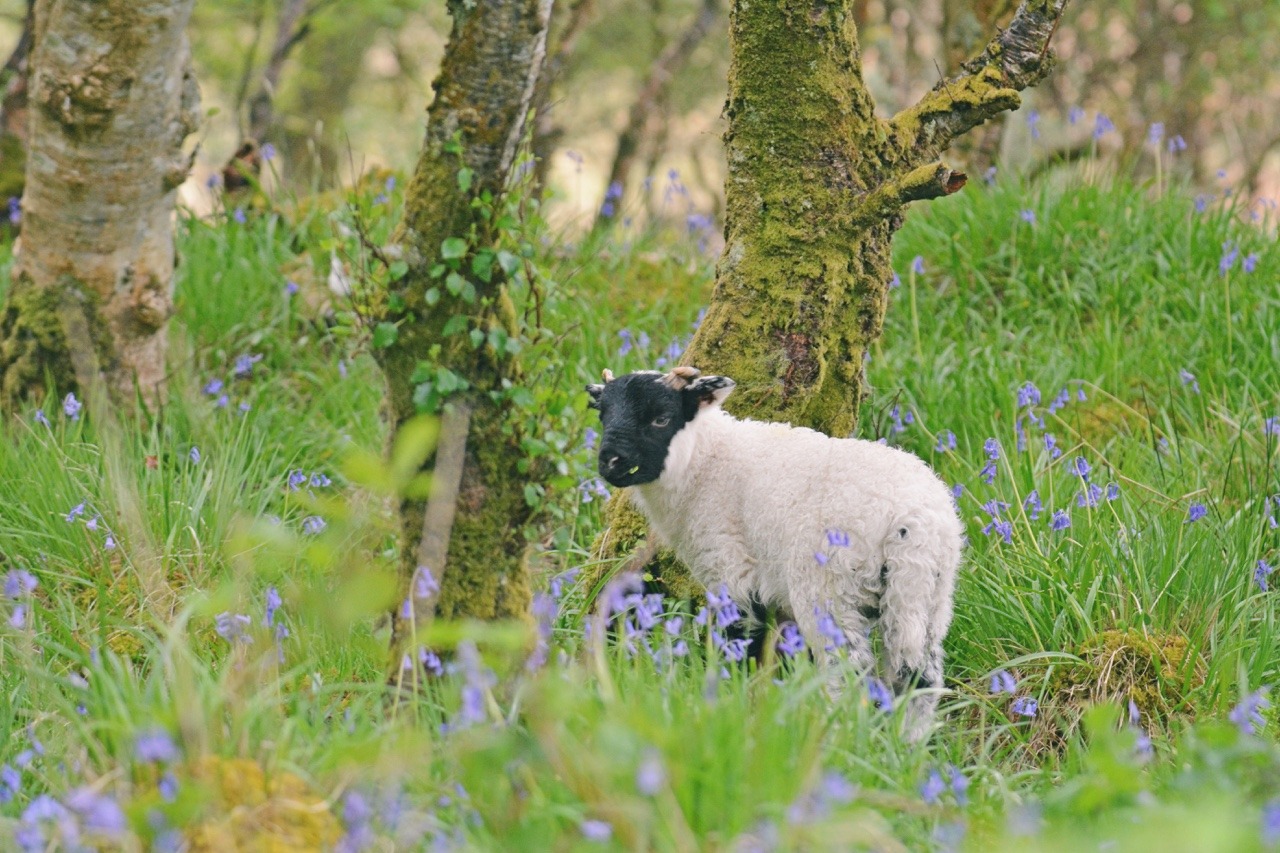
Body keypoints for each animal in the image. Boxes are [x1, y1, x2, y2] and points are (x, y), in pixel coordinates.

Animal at [586, 363, 962, 732]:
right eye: (603, 414)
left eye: (661, 418)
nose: (611, 462)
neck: (704, 463)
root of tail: (911, 522)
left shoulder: (729, 567)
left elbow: (740, 641)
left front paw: (736, 700)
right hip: (927, 596)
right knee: (919, 676)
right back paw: (907, 743)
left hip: (830, 591)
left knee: (848, 673)